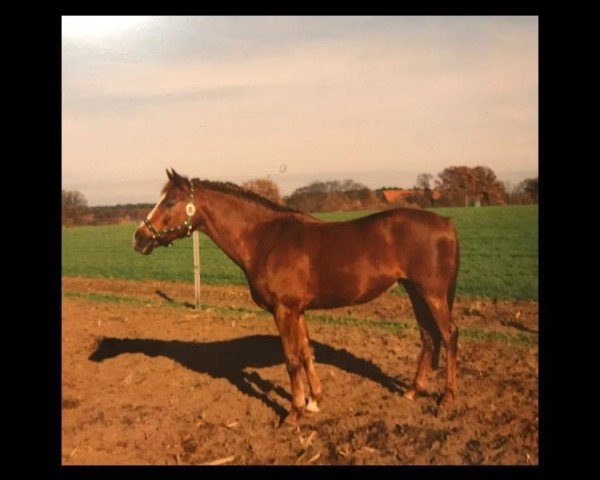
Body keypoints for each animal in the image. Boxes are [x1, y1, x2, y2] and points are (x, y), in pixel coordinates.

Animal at [134, 169, 460, 424]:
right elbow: (305, 353)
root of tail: (446, 222)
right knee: (428, 337)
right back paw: (412, 391)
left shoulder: (284, 310)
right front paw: (314, 401)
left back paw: (447, 398)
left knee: (448, 335)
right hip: (415, 292)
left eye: (170, 201)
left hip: (431, 293)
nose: (139, 237)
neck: (265, 239)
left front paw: (293, 413)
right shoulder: (298, 311)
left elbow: (291, 359)